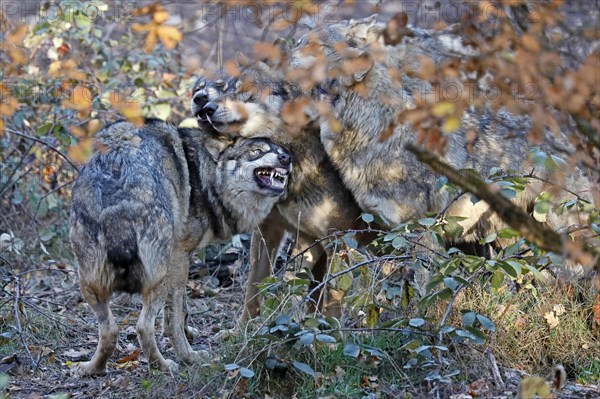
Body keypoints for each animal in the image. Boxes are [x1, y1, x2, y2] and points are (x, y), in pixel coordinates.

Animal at [69, 119, 292, 376]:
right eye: (256, 152)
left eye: (280, 151)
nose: (286, 158)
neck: (205, 176)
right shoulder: (180, 255)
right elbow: (175, 313)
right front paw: (185, 344)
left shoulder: (181, 259)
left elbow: (179, 309)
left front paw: (188, 332)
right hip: (159, 277)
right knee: (143, 326)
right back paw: (174, 363)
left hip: (88, 283)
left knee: (110, 331)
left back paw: (92, 368)